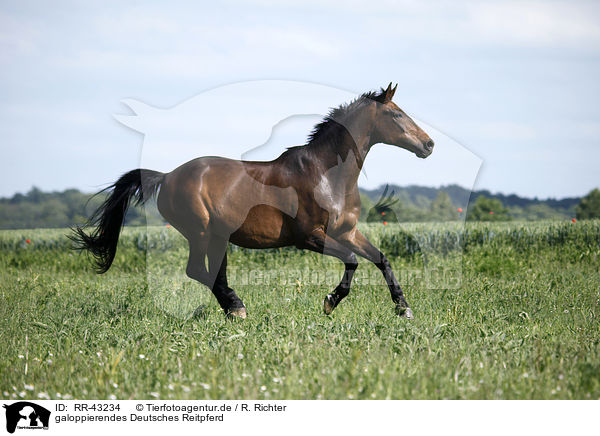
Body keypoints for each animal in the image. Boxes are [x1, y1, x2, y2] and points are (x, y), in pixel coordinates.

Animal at [72, 83, 434, 318]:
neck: (327, 176)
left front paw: (403, 308)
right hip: (200, 232)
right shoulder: (309, 237)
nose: (429, 145)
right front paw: (330, 302)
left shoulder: (347, 232)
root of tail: (166, 176)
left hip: (217, 236)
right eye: (398, 116)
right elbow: (353, 261)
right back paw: (238, 307)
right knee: (198, 271)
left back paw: (232, 308)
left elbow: (381, 259)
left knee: (213, 272)